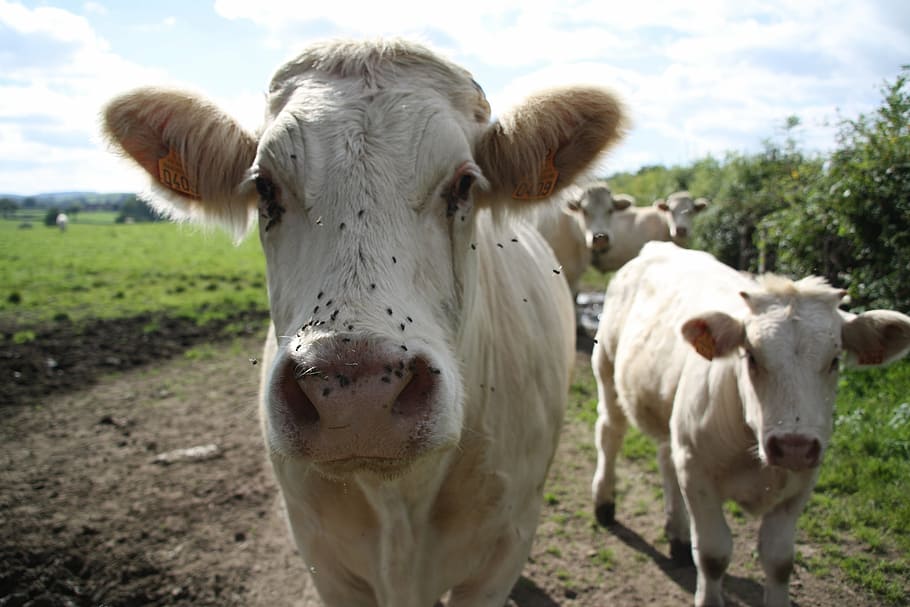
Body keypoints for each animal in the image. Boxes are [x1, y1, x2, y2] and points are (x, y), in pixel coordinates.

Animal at [102, 39, 627, 607]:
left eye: (464, 184)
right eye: (264, 188)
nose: (358, 396)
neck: (400, 502)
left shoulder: (503, 550)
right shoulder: (323, 560)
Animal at [590, 241, 910, 607]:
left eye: (835, 360)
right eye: (752, 356)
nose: (793, 447)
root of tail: (661, 245)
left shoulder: (802, 481)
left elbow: (779, 560)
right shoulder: (698, 472)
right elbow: (714, 555)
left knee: (665, 457)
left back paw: (678, 536)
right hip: (607, 369)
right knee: (610, 434)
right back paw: (605, 503)